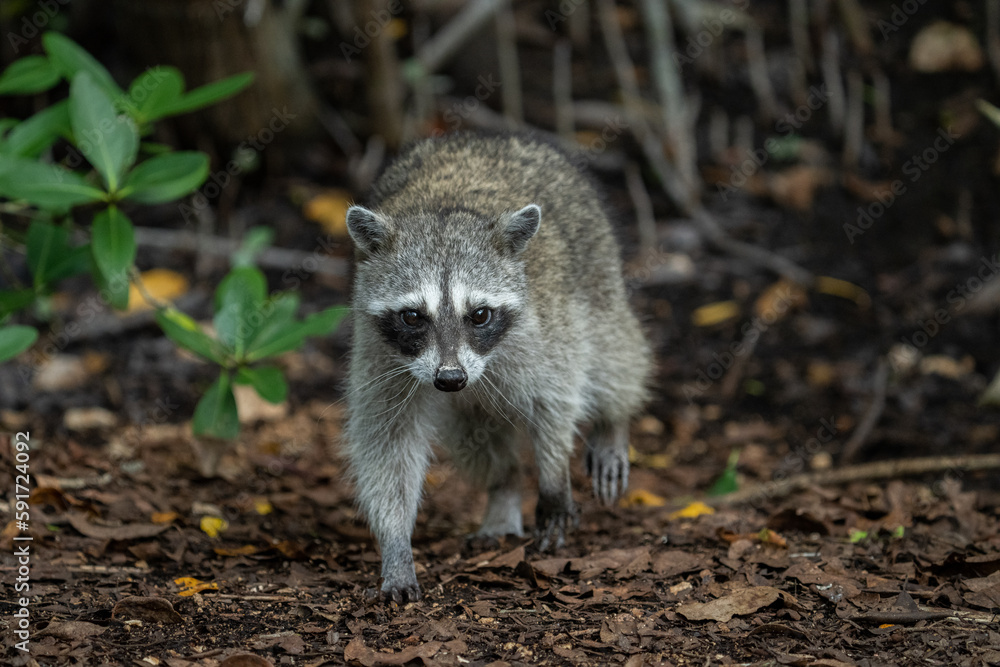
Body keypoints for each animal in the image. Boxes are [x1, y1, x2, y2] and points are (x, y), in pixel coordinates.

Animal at [344, 132, 652, 602]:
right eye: (413, 316)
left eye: (480, 314)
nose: (451, 379)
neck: (442, 210)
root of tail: (487, 135)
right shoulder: (379, 352)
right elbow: (387, 442)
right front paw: (396, 547)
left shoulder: (544, 327)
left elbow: (557, 397)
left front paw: (554, 473)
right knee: (477, 435)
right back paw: (504, 488)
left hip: (597, 270)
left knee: (611, 354)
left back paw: (613, 422)